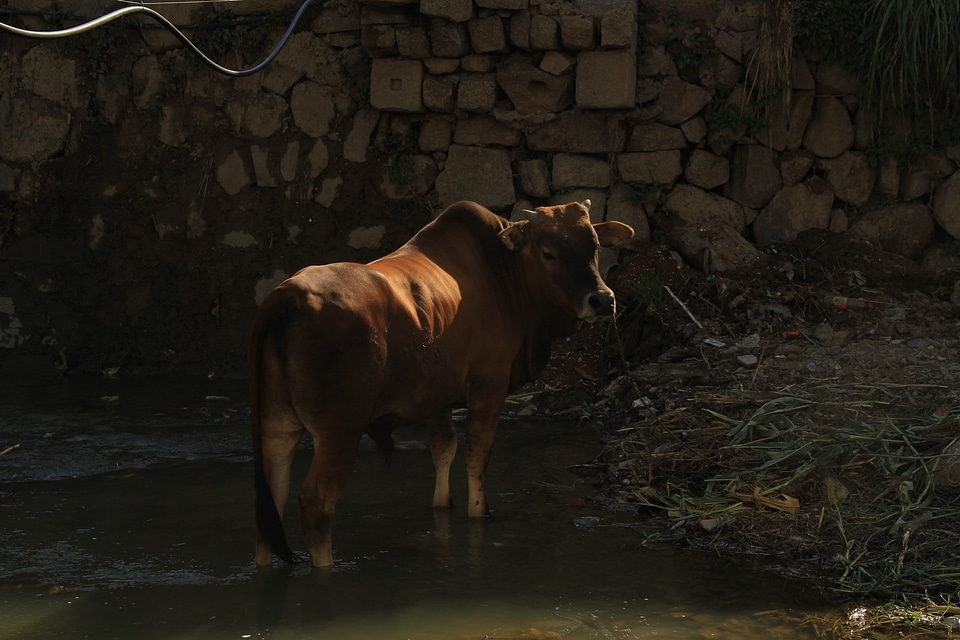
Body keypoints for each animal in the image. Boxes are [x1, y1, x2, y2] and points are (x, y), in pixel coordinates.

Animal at [248, 199, 632, 564]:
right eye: (548, 252)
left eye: (595, 245)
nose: (602, 300)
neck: (504, 273)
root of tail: (288, 295)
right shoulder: (489, 386)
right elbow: (477, 456)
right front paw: (479, 511)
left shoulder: (437, 398)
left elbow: (444, 449)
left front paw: (441, 504)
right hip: (339, 430)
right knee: (316, 502)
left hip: (276, 424)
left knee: (271, 502)